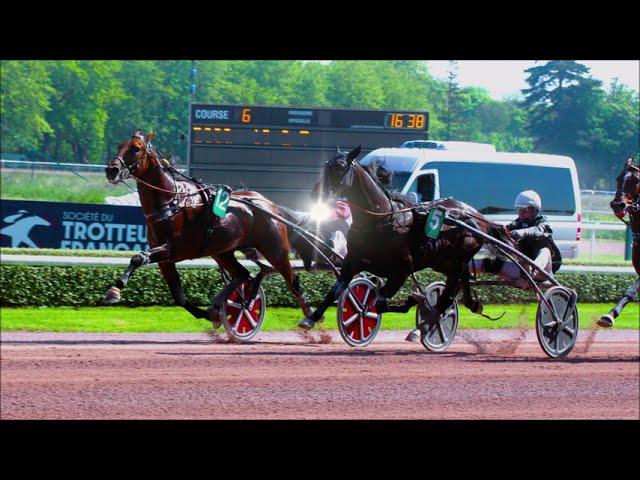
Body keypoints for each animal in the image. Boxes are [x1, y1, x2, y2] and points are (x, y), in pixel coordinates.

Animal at [105, 129, 316, 328]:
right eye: (119, 145)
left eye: (136, 148)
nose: (111, 170)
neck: (171, 202)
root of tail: (270, 205)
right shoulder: (166, 259)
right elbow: (178, 296)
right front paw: (209, 314)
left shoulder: (176, 249)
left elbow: (138, 257)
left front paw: (114, 290)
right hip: (222, 251)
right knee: (242, 274)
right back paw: (222, 305)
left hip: (275, 250)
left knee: (292, 281)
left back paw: (310, 317)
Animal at [298, 145, 512, 334]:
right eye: (326, 165)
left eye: (341, 165)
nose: (315, 194)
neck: (380, 220)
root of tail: (478, 217)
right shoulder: (352, 261)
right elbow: (336, 290)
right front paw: (311, 318)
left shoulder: (401, 270)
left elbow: (380, 303)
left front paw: (414, 300)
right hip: (442, 261)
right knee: (461, 280)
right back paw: (470, 304)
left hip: (457, 259)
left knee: (448, 293)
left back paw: (426, 325)